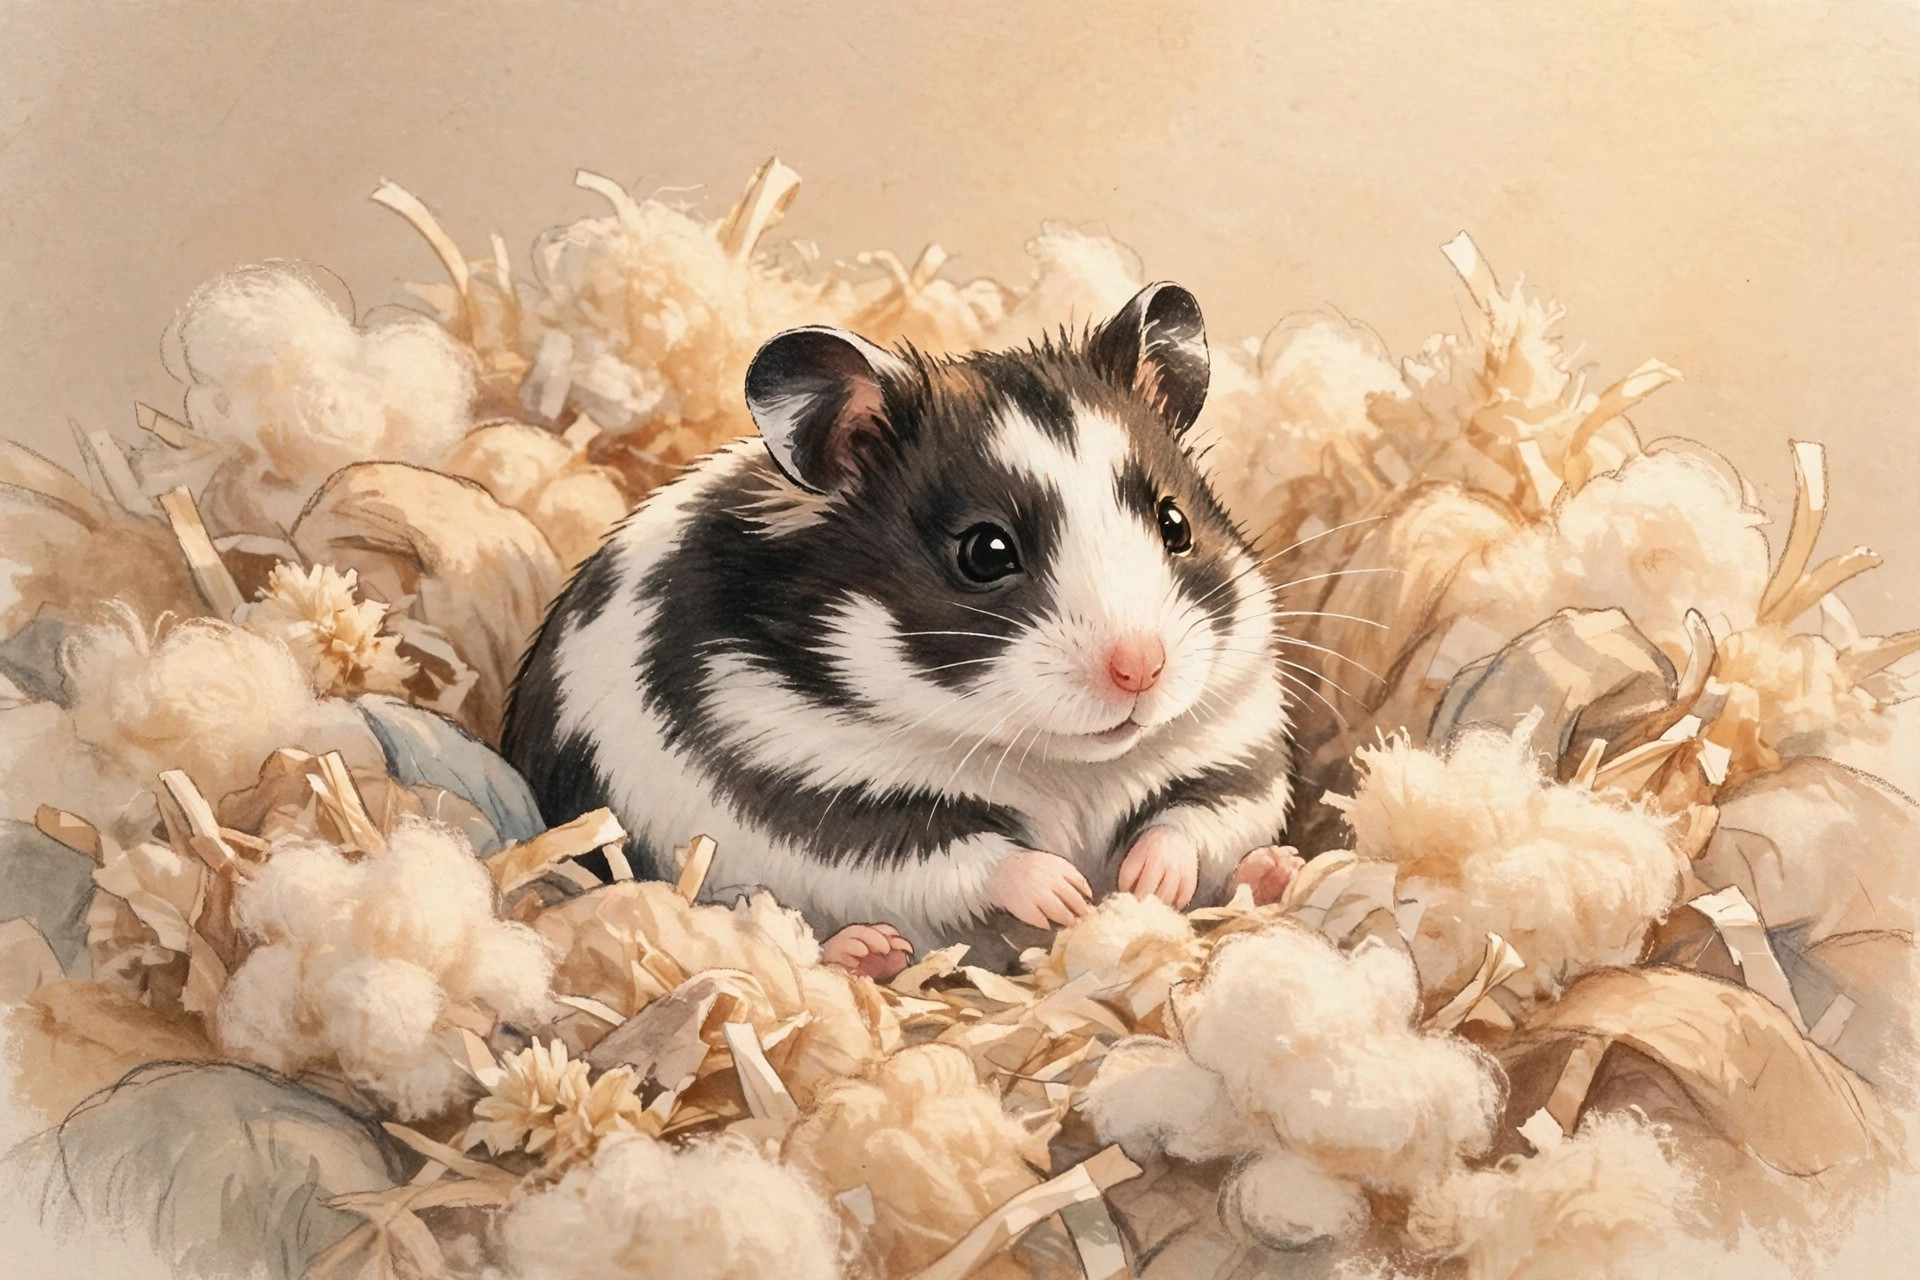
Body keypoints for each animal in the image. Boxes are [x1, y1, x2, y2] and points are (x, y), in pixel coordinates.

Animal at [501, 282, 1293, 957]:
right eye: (985, 552)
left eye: (1174, 523)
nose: (1141, 669)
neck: (1063, 765)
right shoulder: (818, 792)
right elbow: (965, 854)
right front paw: (1066, 895)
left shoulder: (1233, 748)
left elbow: (1191, 818)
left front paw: (1141, 881)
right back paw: (869, 952)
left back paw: (1275, 871)